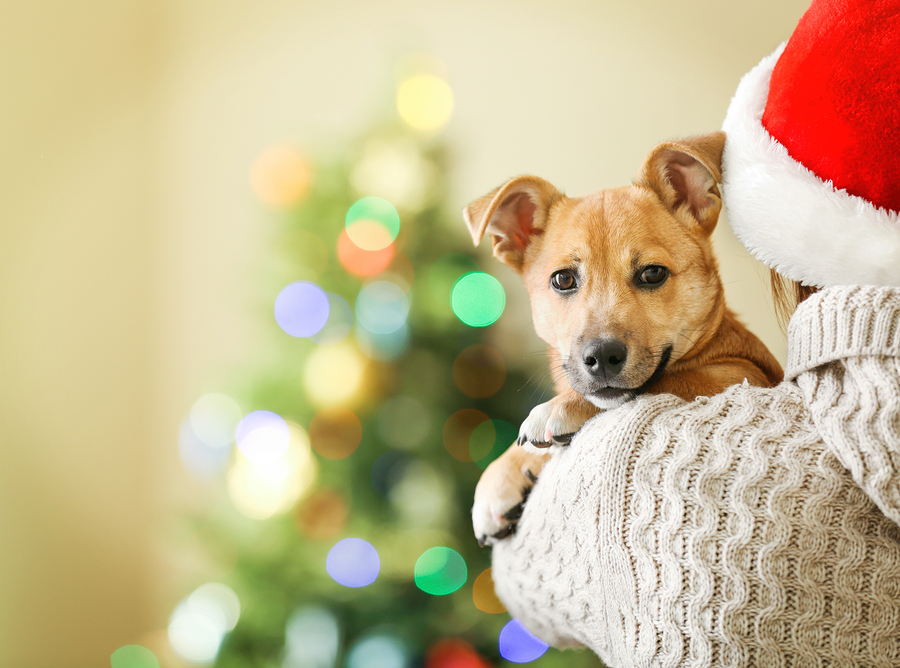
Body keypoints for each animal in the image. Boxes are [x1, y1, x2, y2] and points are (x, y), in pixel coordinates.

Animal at [464, 133, 780, 544]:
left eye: (652, 274)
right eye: (563, 279)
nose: (602, 357)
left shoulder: (747, 373)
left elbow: (670, 380)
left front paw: (561, 408)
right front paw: (500, 477)